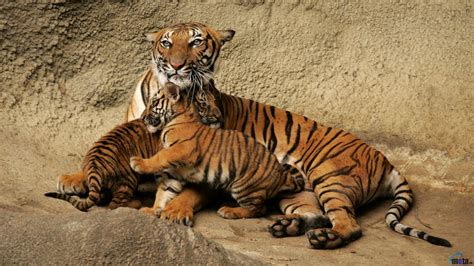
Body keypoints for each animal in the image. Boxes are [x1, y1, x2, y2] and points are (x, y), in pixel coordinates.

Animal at [57, 21, 450, 248]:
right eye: (167, 43)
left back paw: (324, 238)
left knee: (349, 224)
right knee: (316, 214)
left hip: (331, 177)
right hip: (301, 193)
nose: (178, 66)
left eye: (197, 43)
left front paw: (175, 212)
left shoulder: (204, 163)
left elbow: (186, 189)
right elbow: (100, 159)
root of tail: (386, 161)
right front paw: (72, 178)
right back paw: (287, 227)